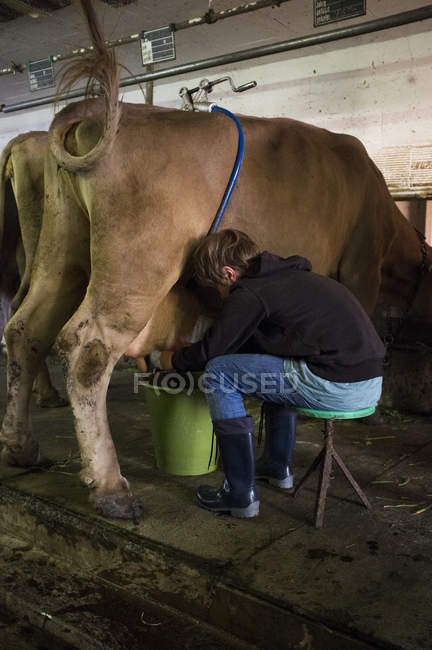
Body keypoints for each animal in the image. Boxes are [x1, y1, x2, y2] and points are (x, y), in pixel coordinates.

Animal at [0, 0, 432, 516]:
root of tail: (99, 112)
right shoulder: (360, 269)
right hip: (136, 268)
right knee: (87, 350)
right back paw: (110, 487)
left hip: (61, 253)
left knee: (25, 329)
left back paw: (21, 447)